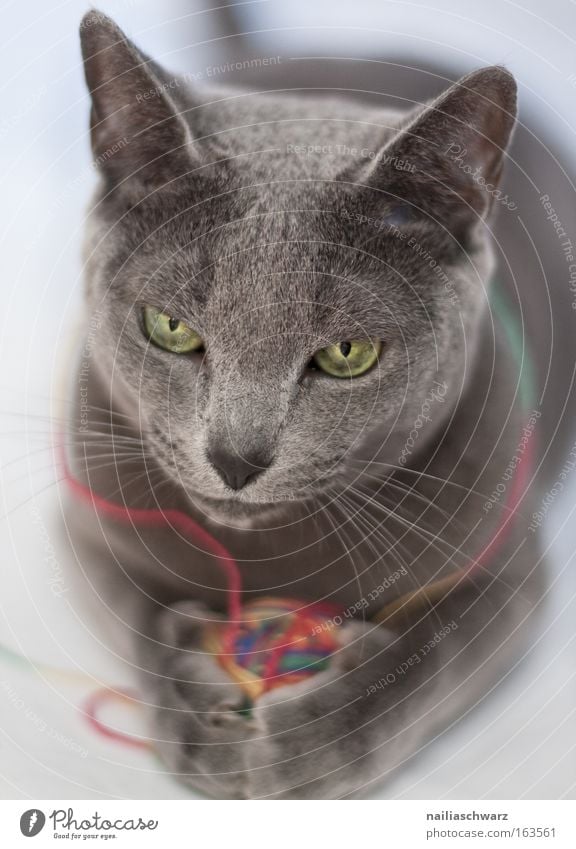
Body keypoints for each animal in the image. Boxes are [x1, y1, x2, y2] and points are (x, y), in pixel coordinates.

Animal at [65, 9, 548, 800]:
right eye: (170, 328)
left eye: (346, 353)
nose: (234, 457)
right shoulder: (88, 519)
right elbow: (142, 619)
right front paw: (194, 715)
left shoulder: (513, 572)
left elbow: (432, 658)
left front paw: (318, 740)